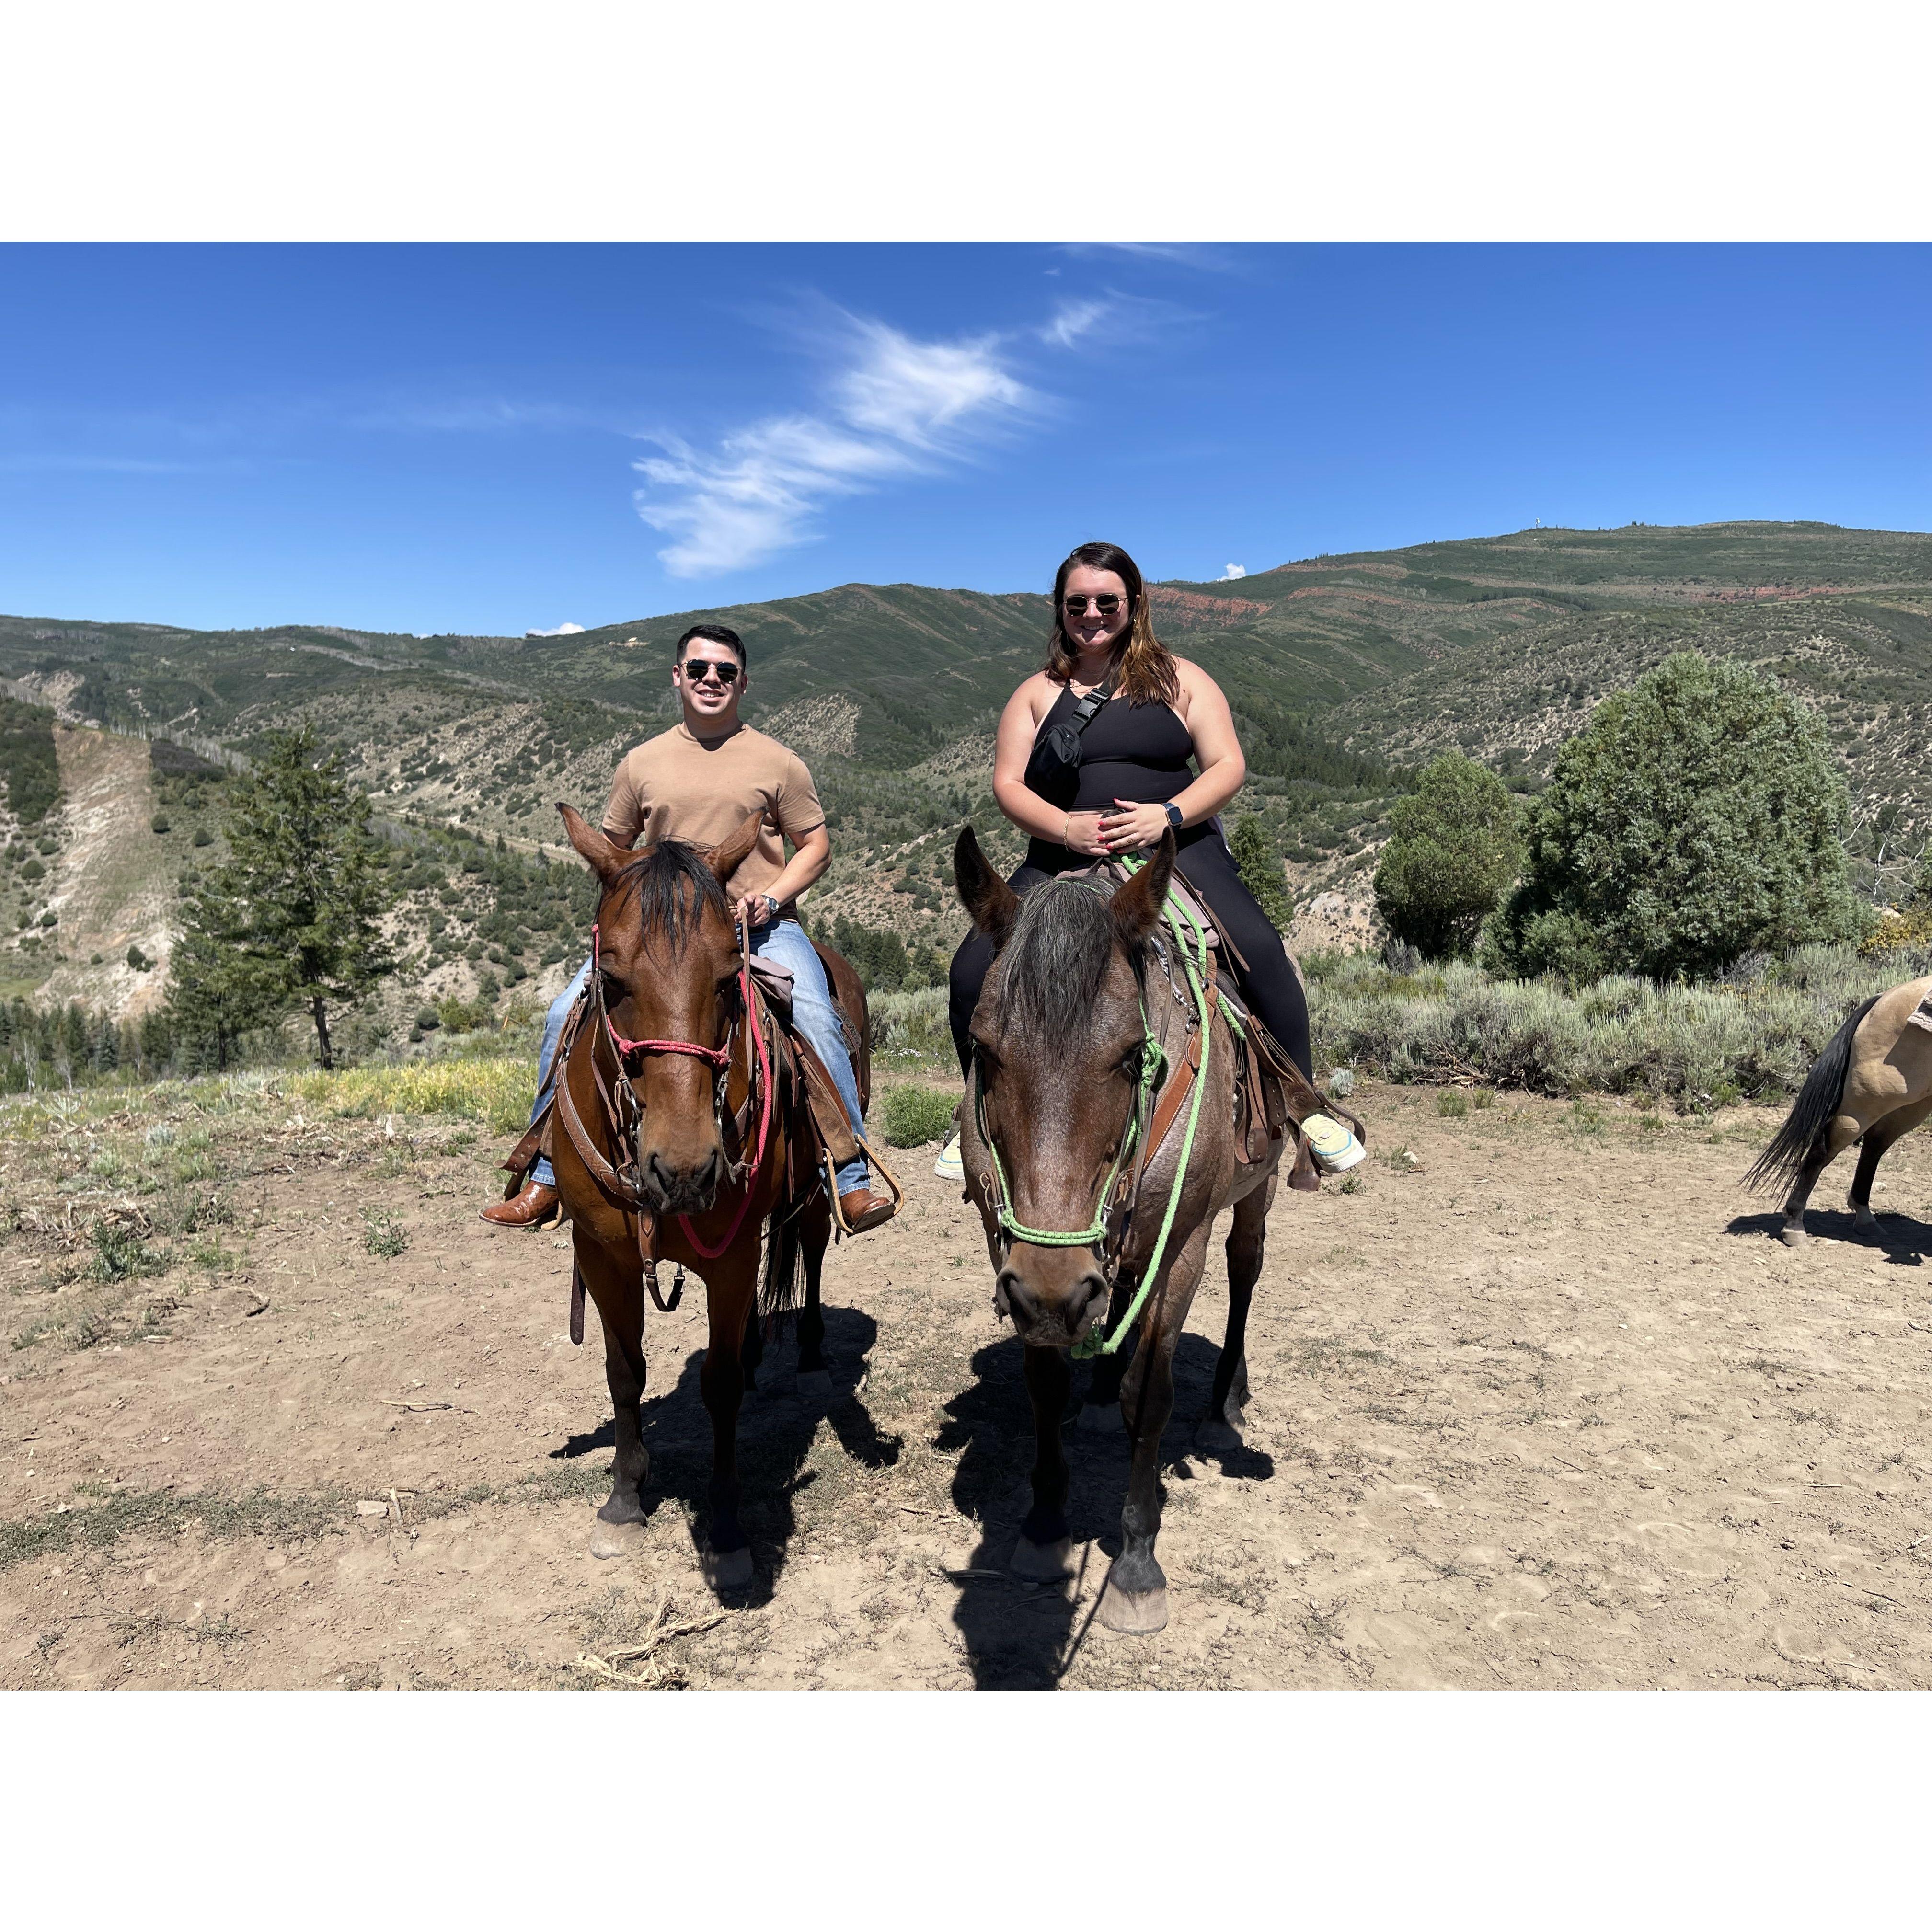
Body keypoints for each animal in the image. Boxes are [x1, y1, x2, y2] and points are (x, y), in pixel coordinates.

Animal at [552, 800, 869, 1584]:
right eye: (612, 978)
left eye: (728, 980)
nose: (685, 1169)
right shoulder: (602, 1255)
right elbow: (624, 1371)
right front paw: (625, 1500)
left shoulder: (727, 1258)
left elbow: (720, 1385)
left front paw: (726, 1529)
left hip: (810, 1195)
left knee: (811, 1252)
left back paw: (807, 1355)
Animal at [954, 827, 1298, 1631]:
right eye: (983, 1050)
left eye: (1131, 1056)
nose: (1055, 1291)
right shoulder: (1013, 1255)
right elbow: (1045, 1382)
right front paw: (1045, 1526)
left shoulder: (1183, 1248)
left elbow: (1155, 1392)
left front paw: (1138, 1563)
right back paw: (1103, 1396)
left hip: (1255, 1194)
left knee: (1245, 1270)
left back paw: (1224, 1405)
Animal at [1746, 974, 1932, 1244]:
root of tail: (1883, 997)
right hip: (1867, 1103)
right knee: (1823, 1149)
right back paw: (1795, 1225)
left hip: (1911, 1107)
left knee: (1874, 1145)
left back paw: (1865, 1219)